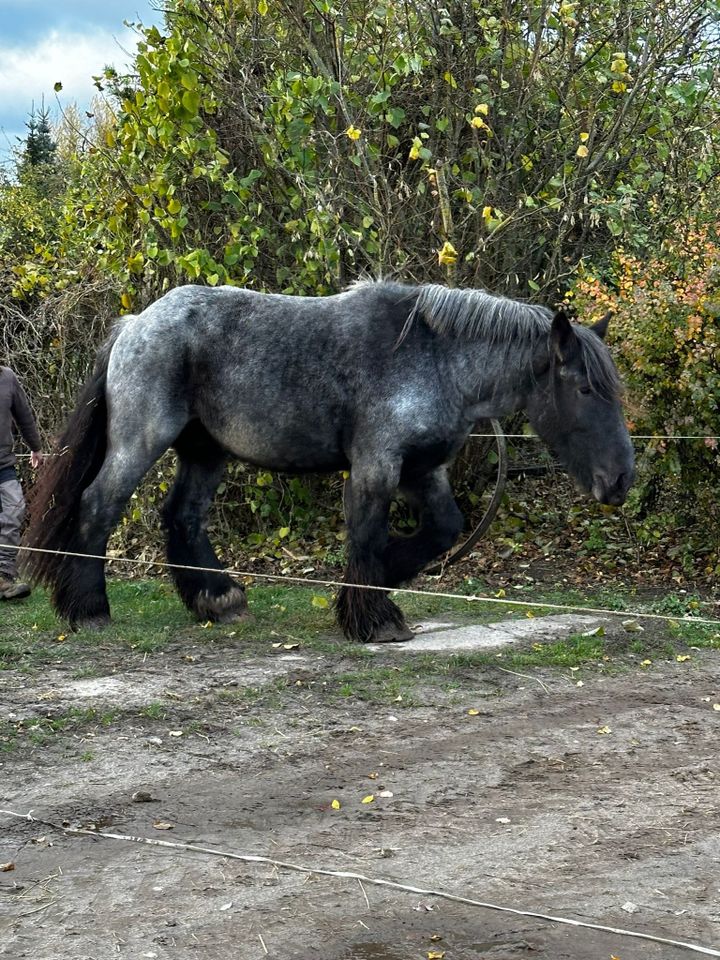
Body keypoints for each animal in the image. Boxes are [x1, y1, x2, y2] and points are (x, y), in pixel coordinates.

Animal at [19, 284, 632, 644]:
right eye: (583, 389)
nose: (621, 480)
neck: (435, 358)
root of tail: (134, 325)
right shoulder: (377, 466)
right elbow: (367, 534)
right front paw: (373, 617)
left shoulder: (423, 470)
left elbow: (442, 529)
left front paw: (382, 585)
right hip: (141, 441)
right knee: (100, 505)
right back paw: (89, 608)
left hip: (206, 450)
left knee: (183, 515)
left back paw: (217, 598)